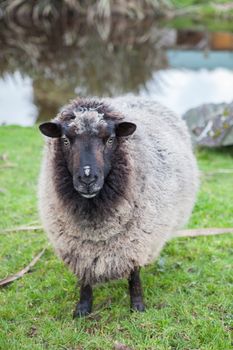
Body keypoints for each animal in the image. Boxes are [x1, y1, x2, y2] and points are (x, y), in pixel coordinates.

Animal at [38, 95, 198, 318]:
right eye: (65, 140)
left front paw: (137, 306)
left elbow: (134, 274)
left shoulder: (136, 240)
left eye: (111, 139)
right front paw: (83, 308)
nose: (88, 179)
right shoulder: (79, 248)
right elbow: (85, 277)